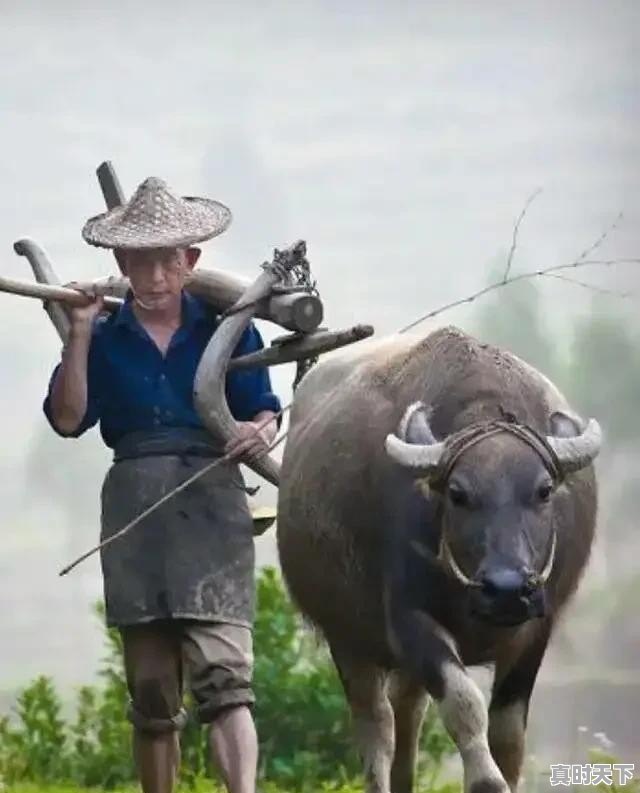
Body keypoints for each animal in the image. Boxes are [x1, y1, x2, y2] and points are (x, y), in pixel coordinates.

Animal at [278, 326, 604, 792]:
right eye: (458, 493)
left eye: (543, 490)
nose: (507, 589)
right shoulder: (410, 622)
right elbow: (464, 704)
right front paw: (486, 780)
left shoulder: (536, 630)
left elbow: (508, 735)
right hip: (347, 638)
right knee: (377, 727)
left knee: (407, 712)